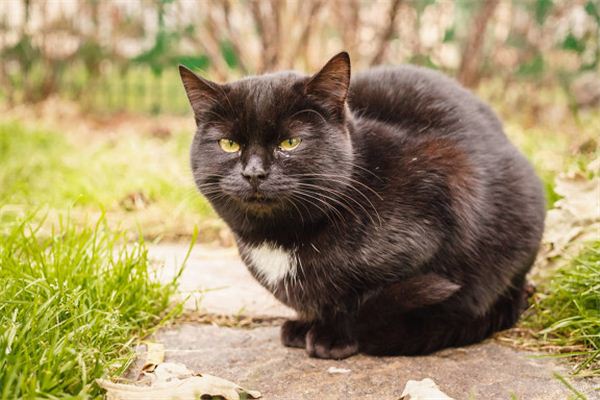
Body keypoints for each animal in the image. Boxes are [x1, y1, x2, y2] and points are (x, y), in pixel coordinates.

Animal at [177, 51, 544, 360]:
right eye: (229, 144)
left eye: (290, 142)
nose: (254, 172)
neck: (279, 238)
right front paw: (304, 325)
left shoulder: (445, 188)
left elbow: (362, 299)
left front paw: (333, 336)